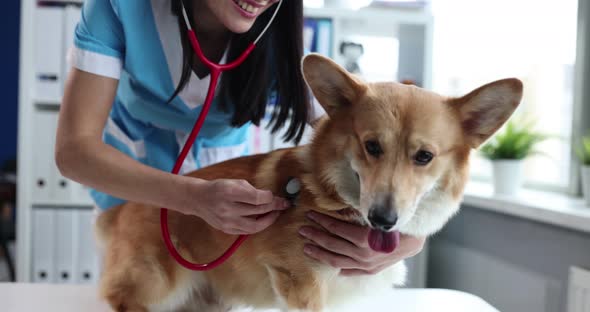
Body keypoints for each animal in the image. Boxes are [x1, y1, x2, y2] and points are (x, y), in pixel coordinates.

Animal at [98, 54, 528, 312]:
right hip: (157, 285)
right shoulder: (298, 282)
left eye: (424, 156)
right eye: (371, 146)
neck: (334, 197)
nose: (383, 219)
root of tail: (121, 209)